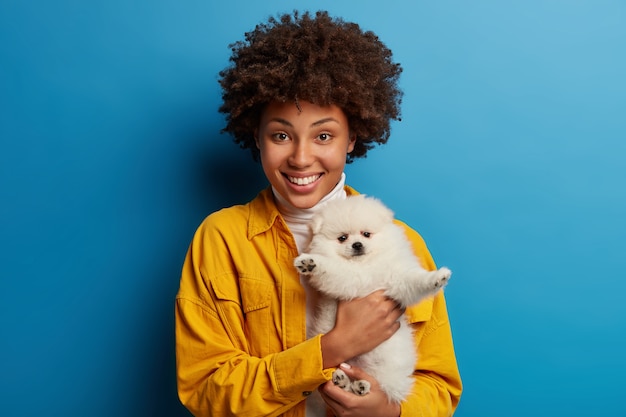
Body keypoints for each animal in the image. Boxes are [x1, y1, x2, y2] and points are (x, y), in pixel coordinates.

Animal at [292, 195, 448, 404]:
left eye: (366, 234)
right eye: (342, 238)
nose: (357, 245)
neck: (366, 264)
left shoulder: (397, 279)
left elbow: (415, 280)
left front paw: (437, 278)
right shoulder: (350, 279)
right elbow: (333, 267)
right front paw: (311, 263)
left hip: (385, 373)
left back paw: (358, 386)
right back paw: (346, 381)